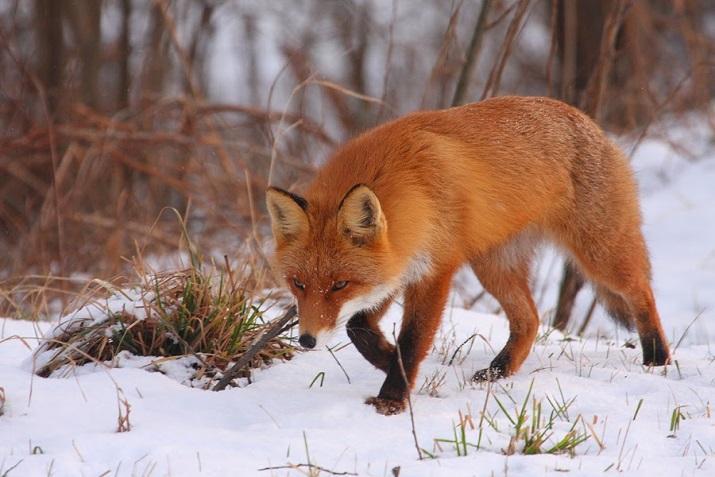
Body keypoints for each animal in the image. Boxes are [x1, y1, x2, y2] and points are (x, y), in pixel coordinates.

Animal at [268, 96, 672, 412]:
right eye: (298, 283)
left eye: (339, 285)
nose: (306, 341)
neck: (412, 189)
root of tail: (587, 120)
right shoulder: (393, 269)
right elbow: (359, 327)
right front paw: (387, 359)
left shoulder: (434, 271)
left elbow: (412, 339)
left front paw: (393, 396)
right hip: (493, 267)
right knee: (530, 320)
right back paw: (500, 371)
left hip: (601, 254)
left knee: (643, 293)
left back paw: (657, 359)